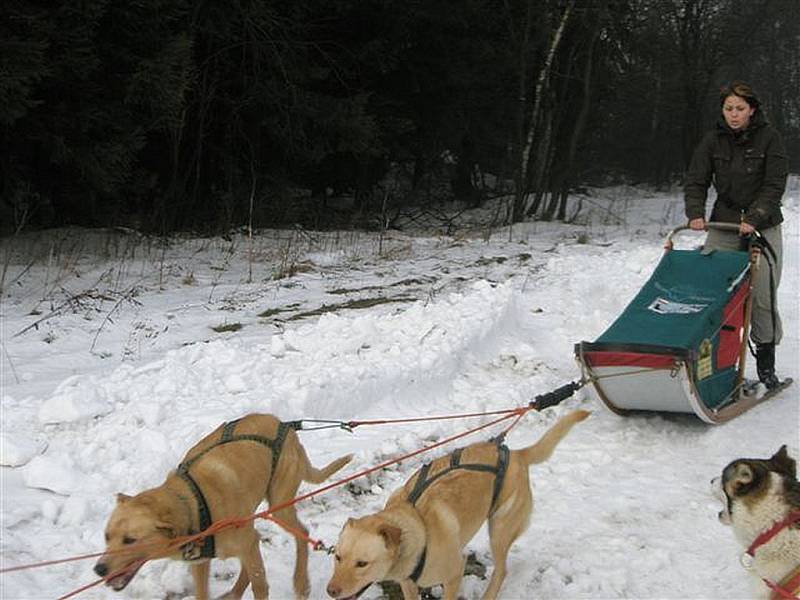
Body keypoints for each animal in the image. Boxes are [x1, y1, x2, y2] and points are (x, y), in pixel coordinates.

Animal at [95, 414, 352, 596]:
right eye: (106, 536)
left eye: (130, 540)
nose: (99, 569)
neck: (194, 503)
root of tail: (285, 425)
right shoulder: (201, 563)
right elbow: (204, 592)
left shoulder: (246, 545)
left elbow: (260, 585)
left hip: (279, 505)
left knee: (301, 533)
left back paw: (301, 582)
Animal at [324, 410, 588, 596]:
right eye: (338, 557)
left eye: (362, 563)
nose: (331, 591)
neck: (417, 527)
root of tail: (516, 454)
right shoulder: (408, 584)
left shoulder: (453, 574)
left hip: (499, 529)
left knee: (501, 570)